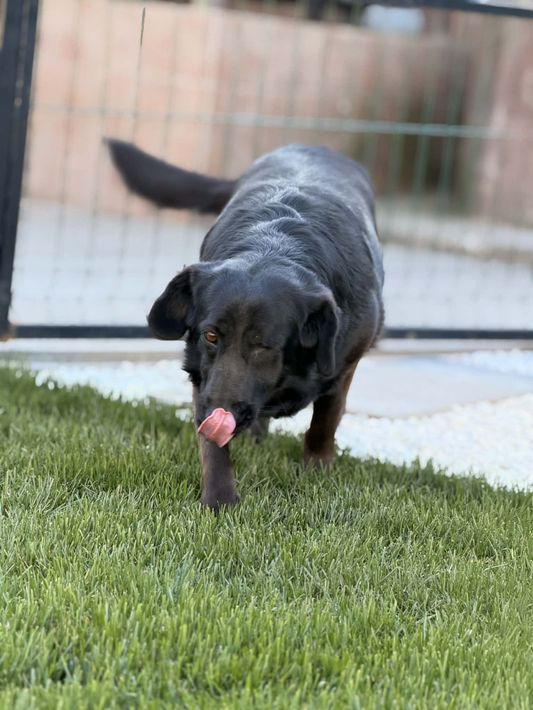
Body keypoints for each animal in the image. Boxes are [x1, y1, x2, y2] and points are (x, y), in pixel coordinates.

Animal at [108, 140, 384, 510]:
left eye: (263, 346)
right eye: (211, 336)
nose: (216, 412)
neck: (274, 245)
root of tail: (311, 145)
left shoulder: (344, 363)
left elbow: (325, 421)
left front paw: (316, 469)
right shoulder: (203, 375)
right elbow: (213, 448)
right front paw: (219, 499)